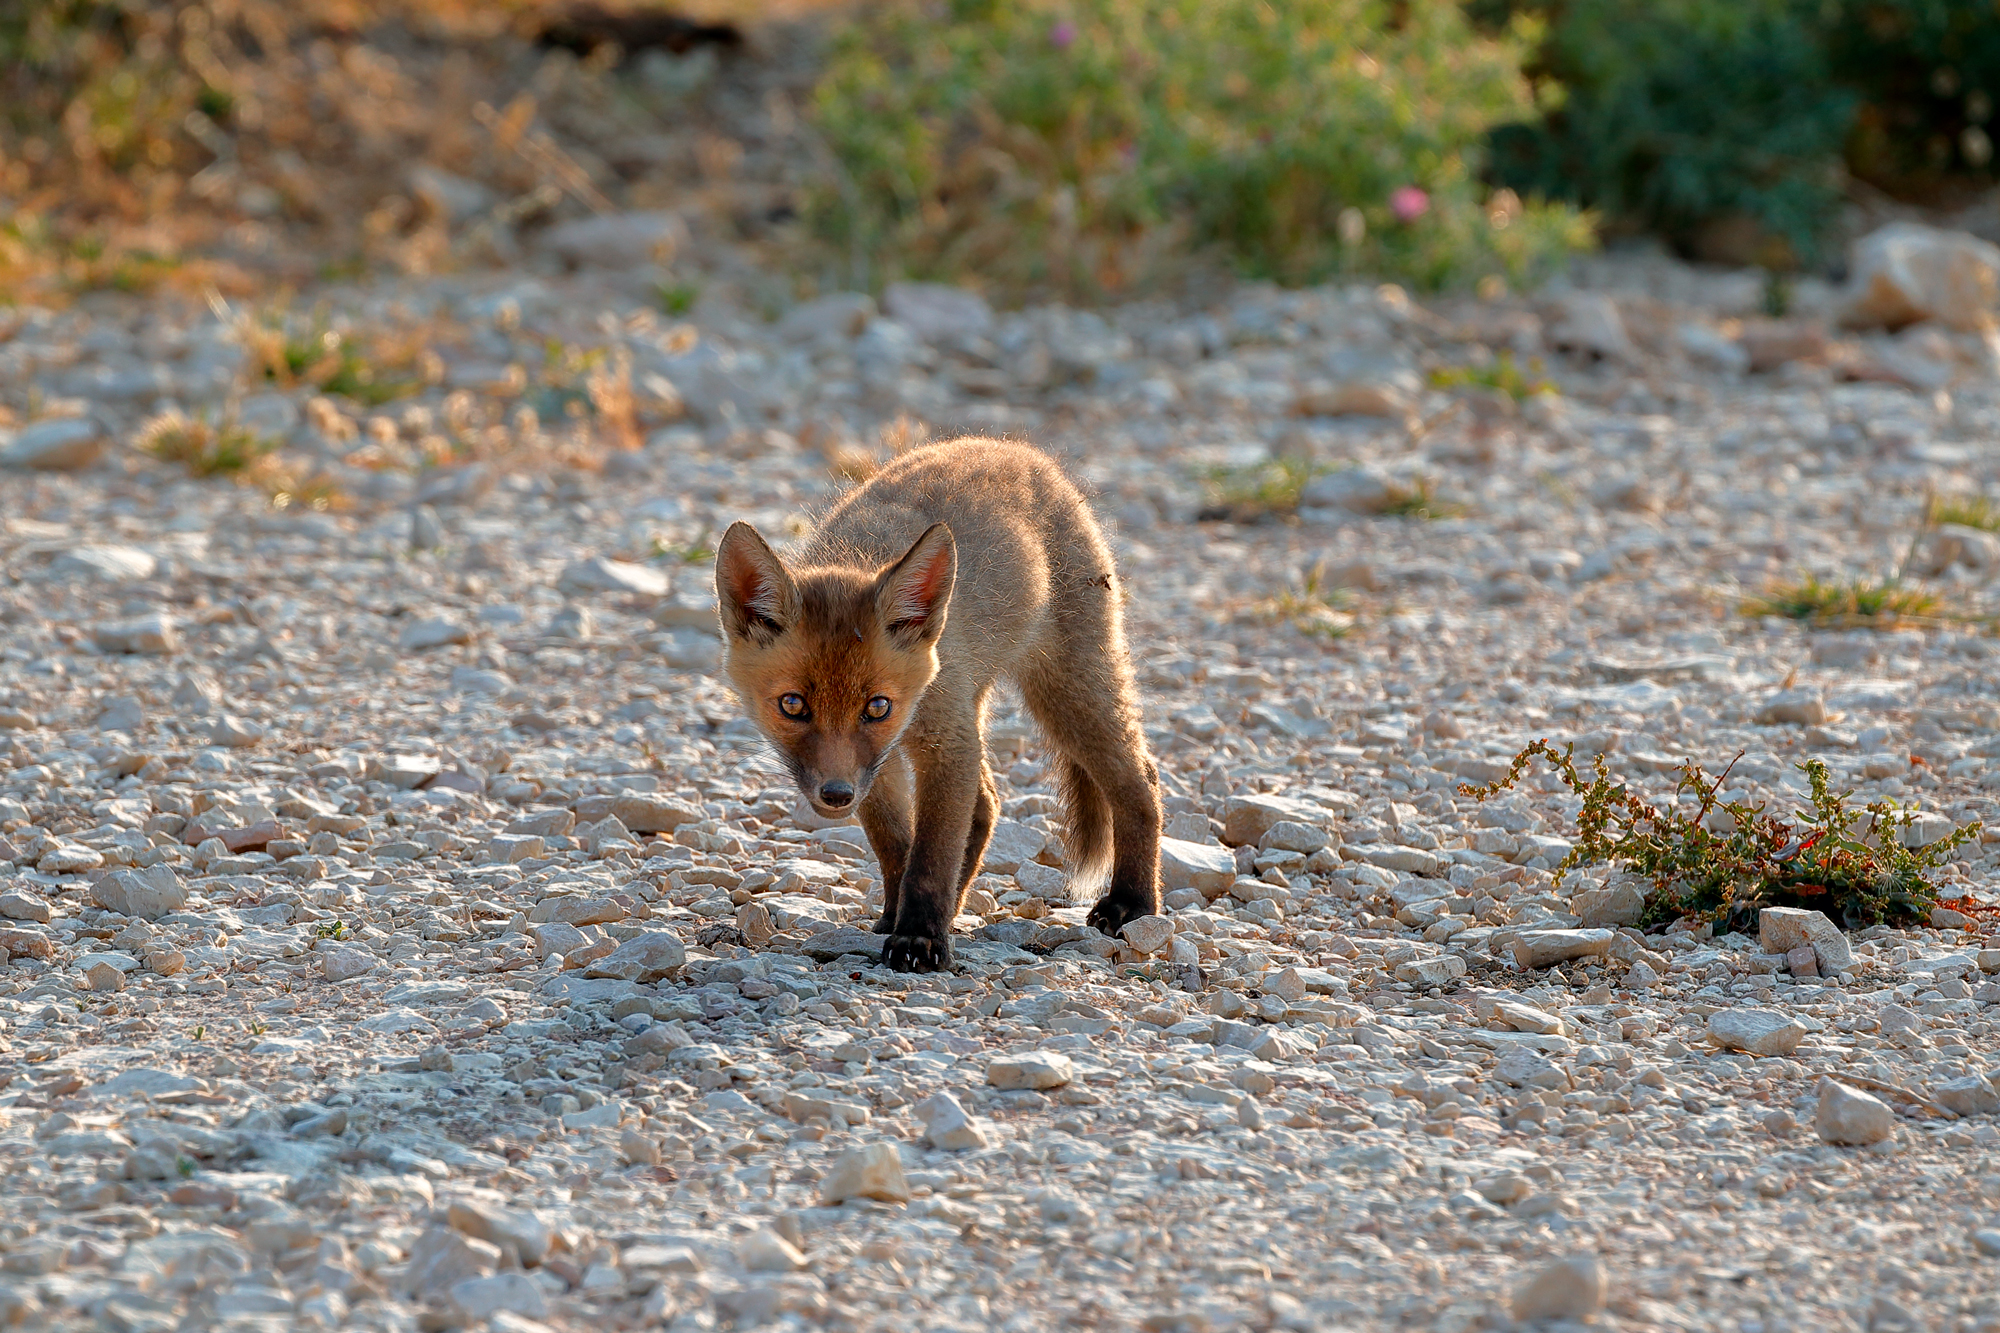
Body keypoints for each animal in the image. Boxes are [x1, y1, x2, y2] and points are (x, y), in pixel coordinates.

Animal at [713, 438, 1163, 972]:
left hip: (1067, 692)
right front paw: (899, 915)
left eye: (877, 706)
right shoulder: (880, 762)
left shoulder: (942, 738)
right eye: (793, 705)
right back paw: (957, 904)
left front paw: (920, 937)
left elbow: (931, 855)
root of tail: (1019, 449)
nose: (836, 796)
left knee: (1140, 781)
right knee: (987, 805)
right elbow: (895, 844)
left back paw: (1133, 903)